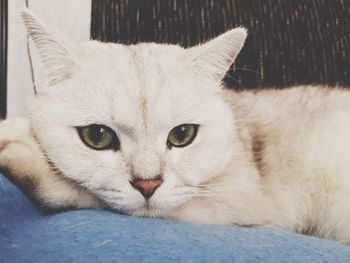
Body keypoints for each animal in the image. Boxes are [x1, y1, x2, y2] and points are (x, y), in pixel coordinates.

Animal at [0, 9, 350, 245]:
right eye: (97, 137)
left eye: (182, 135)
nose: (148, 185)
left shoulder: (245, 206)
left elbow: (84, 194)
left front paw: (19, 145)